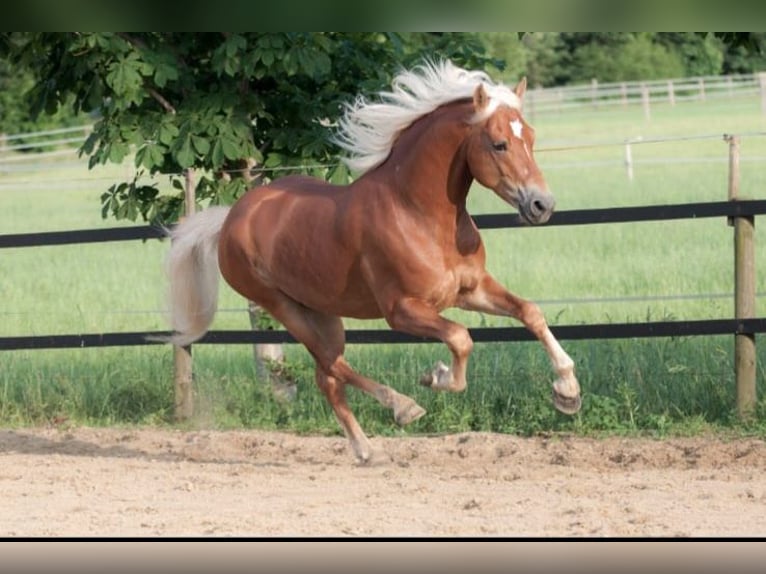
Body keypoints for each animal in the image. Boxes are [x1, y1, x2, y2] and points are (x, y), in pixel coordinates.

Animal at [162, 59, 584, 464]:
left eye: (531, 138)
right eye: (499, 144)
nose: (542, 205)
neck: (419, 214)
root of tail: (231, 219)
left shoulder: (470, 290)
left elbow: (529, 312)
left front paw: (567, 392)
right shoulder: (402, 310)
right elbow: (461, 338)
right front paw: (436, 377)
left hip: (322, 313)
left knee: (327, 377)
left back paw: (367, 449)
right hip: (282, 307)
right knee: (333, 366)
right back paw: (403, 406)